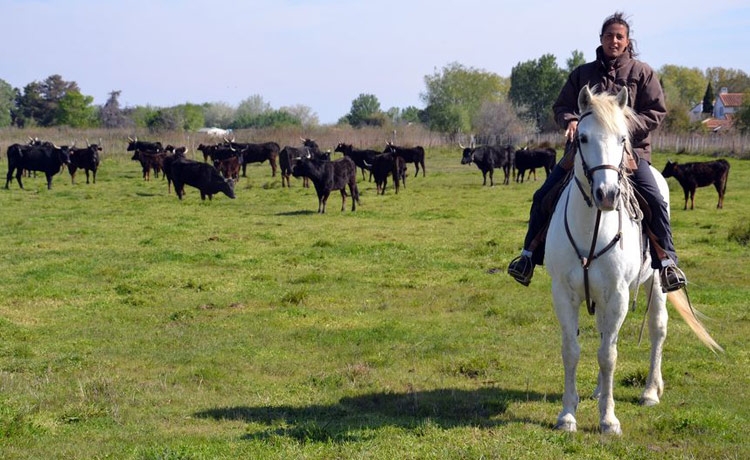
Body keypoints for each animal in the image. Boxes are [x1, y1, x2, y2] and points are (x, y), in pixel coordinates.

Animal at [548, 85, 724, 434]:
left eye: (622, 139)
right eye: (582, 138)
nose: (607, 195)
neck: (592, 229)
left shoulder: (617, 295)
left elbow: (609, 356)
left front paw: (608, 419)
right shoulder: (564, 294)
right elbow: (573, 351)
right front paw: (568, 415)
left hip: (656, 283)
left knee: (657, 329)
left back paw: (650, 392)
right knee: (605, 335)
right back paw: (599, 390)